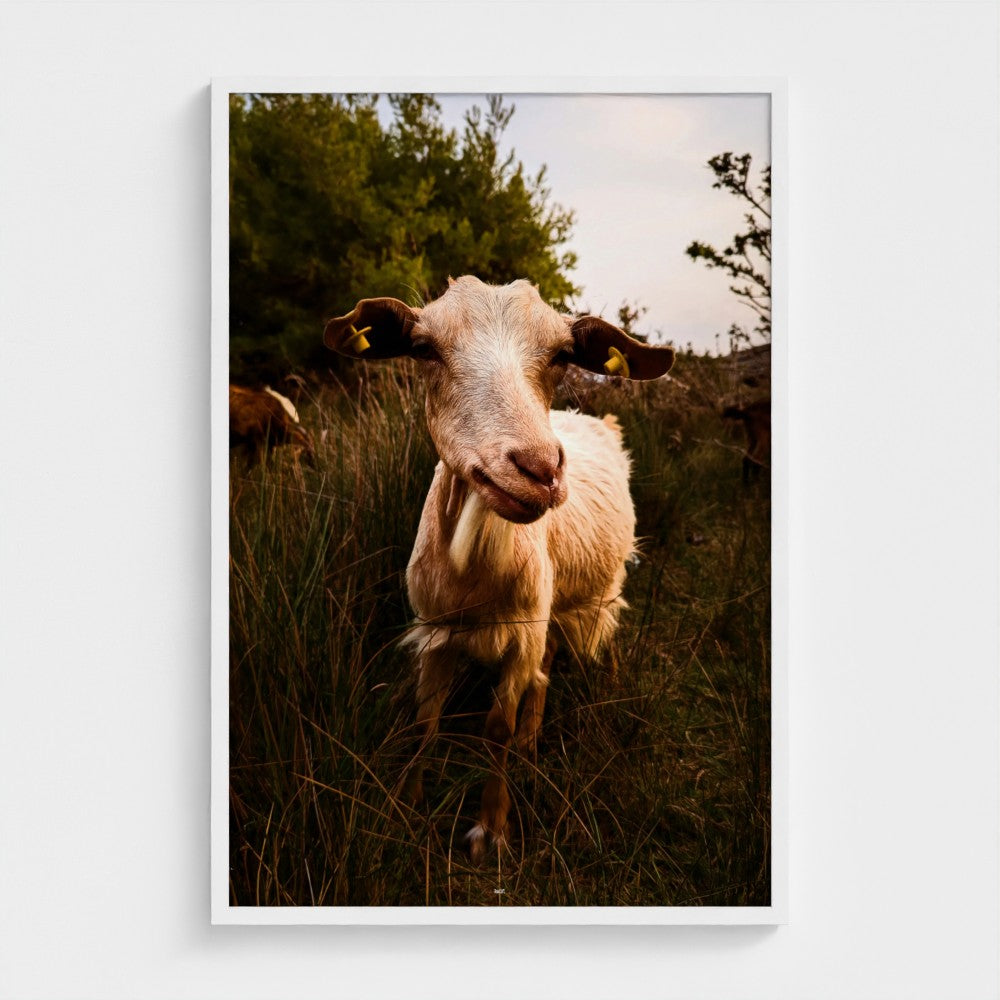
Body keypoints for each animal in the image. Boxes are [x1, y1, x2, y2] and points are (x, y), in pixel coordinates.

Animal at [324, 276, 675, 860]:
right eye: (424, 349)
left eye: (561, 356)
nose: (539, 469)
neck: (475, 578)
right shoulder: (435, 631)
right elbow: (423, 724)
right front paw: (405, 807)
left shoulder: (522, 632)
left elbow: (497, 728)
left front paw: (490, 830)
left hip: (582, 599)